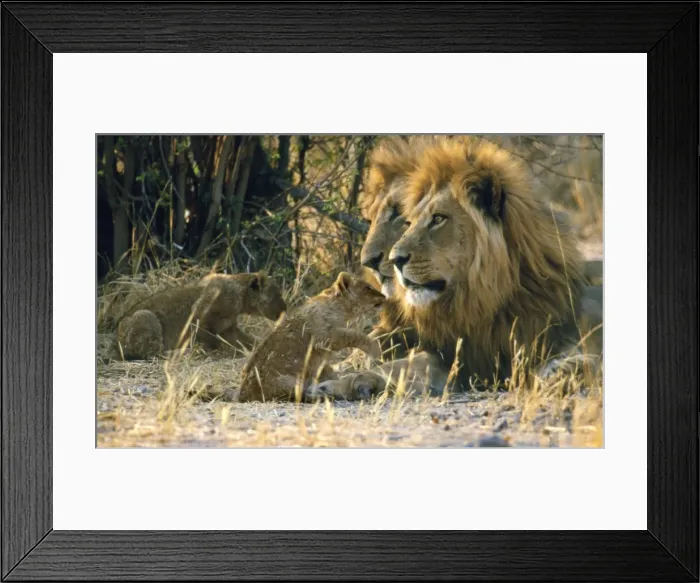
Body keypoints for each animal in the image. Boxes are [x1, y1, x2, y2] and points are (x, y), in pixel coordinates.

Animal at [114, 271, 286, 360]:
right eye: (278, 294)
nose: (286, 308)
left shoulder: (229, 329)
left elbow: (249, 340)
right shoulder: (199, 315)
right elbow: (212, 341)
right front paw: (210, 351)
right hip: (144, 315)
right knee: (151, 352)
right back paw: (183, 352)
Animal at [237, 272, 386, 402]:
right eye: (368, 288)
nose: (384, 296)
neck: (341, 308)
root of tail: (243, 395)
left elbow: (325, 369)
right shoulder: (325, 337)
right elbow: (356, 336)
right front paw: (375, 353)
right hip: (288, 380)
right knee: (298, 396)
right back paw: (321, 396)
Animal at [387, 136, 602, 392]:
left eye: (438, 218)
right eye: (409, 223)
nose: (394, 259)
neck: (481, 299)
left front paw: (563, 369)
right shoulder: (456, 356)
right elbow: (403, 365)